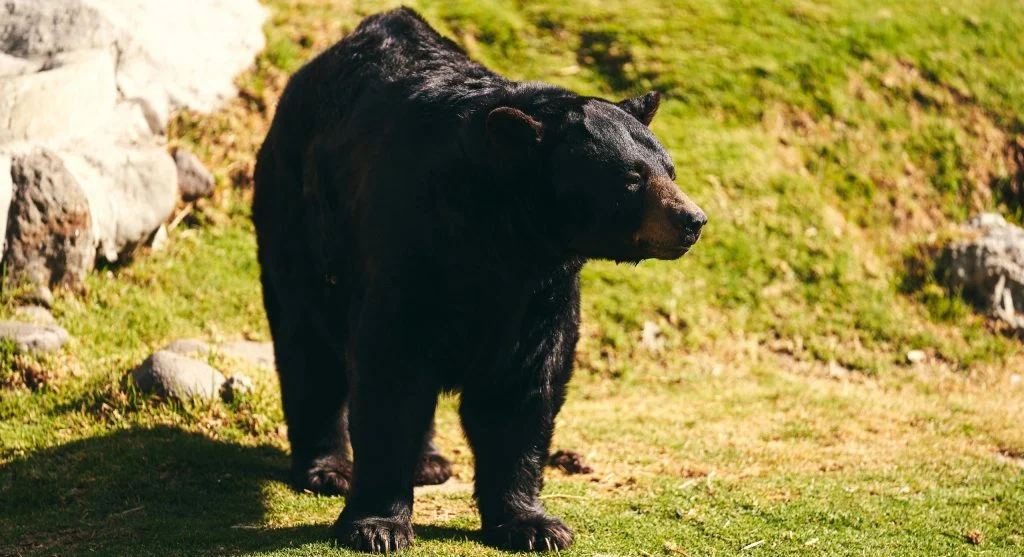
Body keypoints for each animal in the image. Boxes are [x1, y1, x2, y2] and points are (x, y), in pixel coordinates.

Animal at [252, 6, 706, 553]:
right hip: (299, 219)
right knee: (309, 342)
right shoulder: (414, 248)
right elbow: (390, 370)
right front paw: (377, 525)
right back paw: (328, 468)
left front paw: (533, 524)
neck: (503, 235)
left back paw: (429, 461)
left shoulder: (539, 292)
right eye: (631, 178)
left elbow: (523, 387)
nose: (692, 220)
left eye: (670, 169)